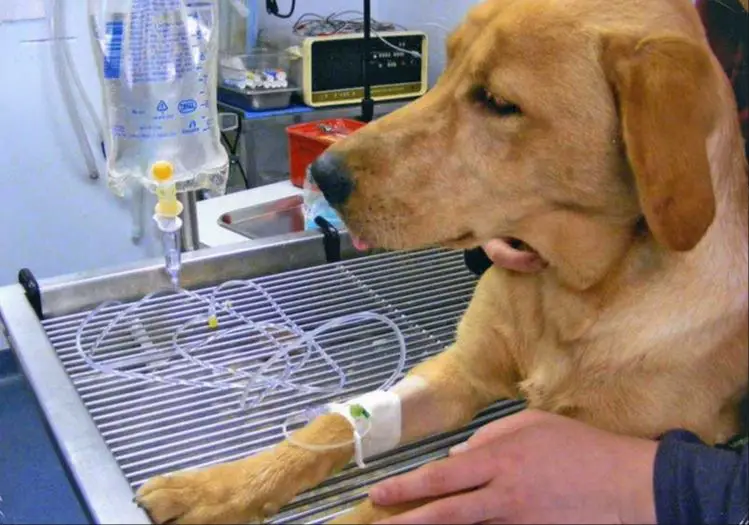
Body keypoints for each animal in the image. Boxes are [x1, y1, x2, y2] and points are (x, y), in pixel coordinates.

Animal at [136, 0, 748, 520]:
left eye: (498, 102)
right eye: (446, 65)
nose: (323, 174)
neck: (572, 291)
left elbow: (392, 505)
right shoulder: (460, 371)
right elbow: (332, 426)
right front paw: (213, 488)